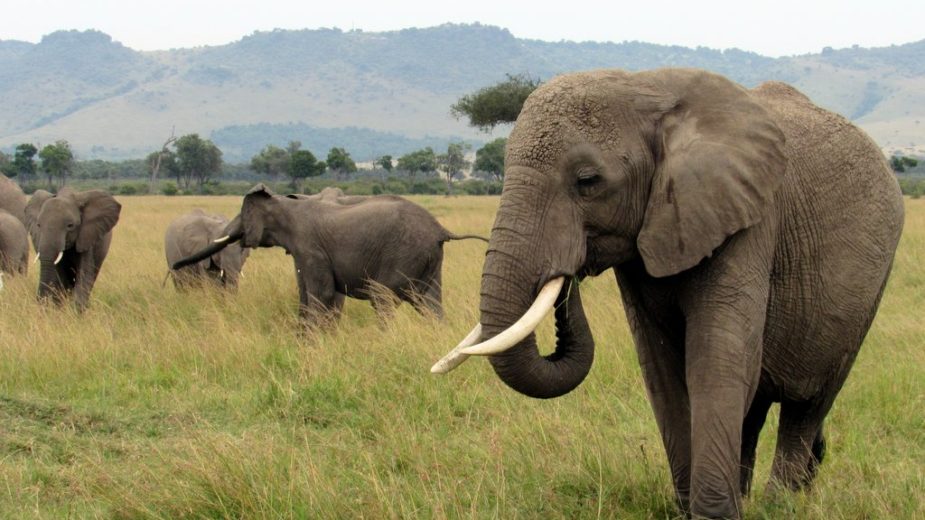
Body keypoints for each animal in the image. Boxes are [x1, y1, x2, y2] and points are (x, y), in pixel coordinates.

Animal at [171, 184, 487, 324]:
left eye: (243, 214)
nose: (174, 265)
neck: (287, 202)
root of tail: (440, 229)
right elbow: (314, 296)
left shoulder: (310, 248)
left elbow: (320, 295)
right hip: (429, 261)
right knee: (431, 304)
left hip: (404, 254)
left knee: (383, 299)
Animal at [433, 68, 904, 519]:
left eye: (588, 181)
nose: (568, 274)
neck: (648, 90)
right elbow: (661, 369)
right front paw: (689, 508)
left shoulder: (747, 217)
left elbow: (715, 359)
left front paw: (715, 515)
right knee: (754, 407)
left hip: (868, 289)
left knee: (807, 407)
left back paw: (779, 504)